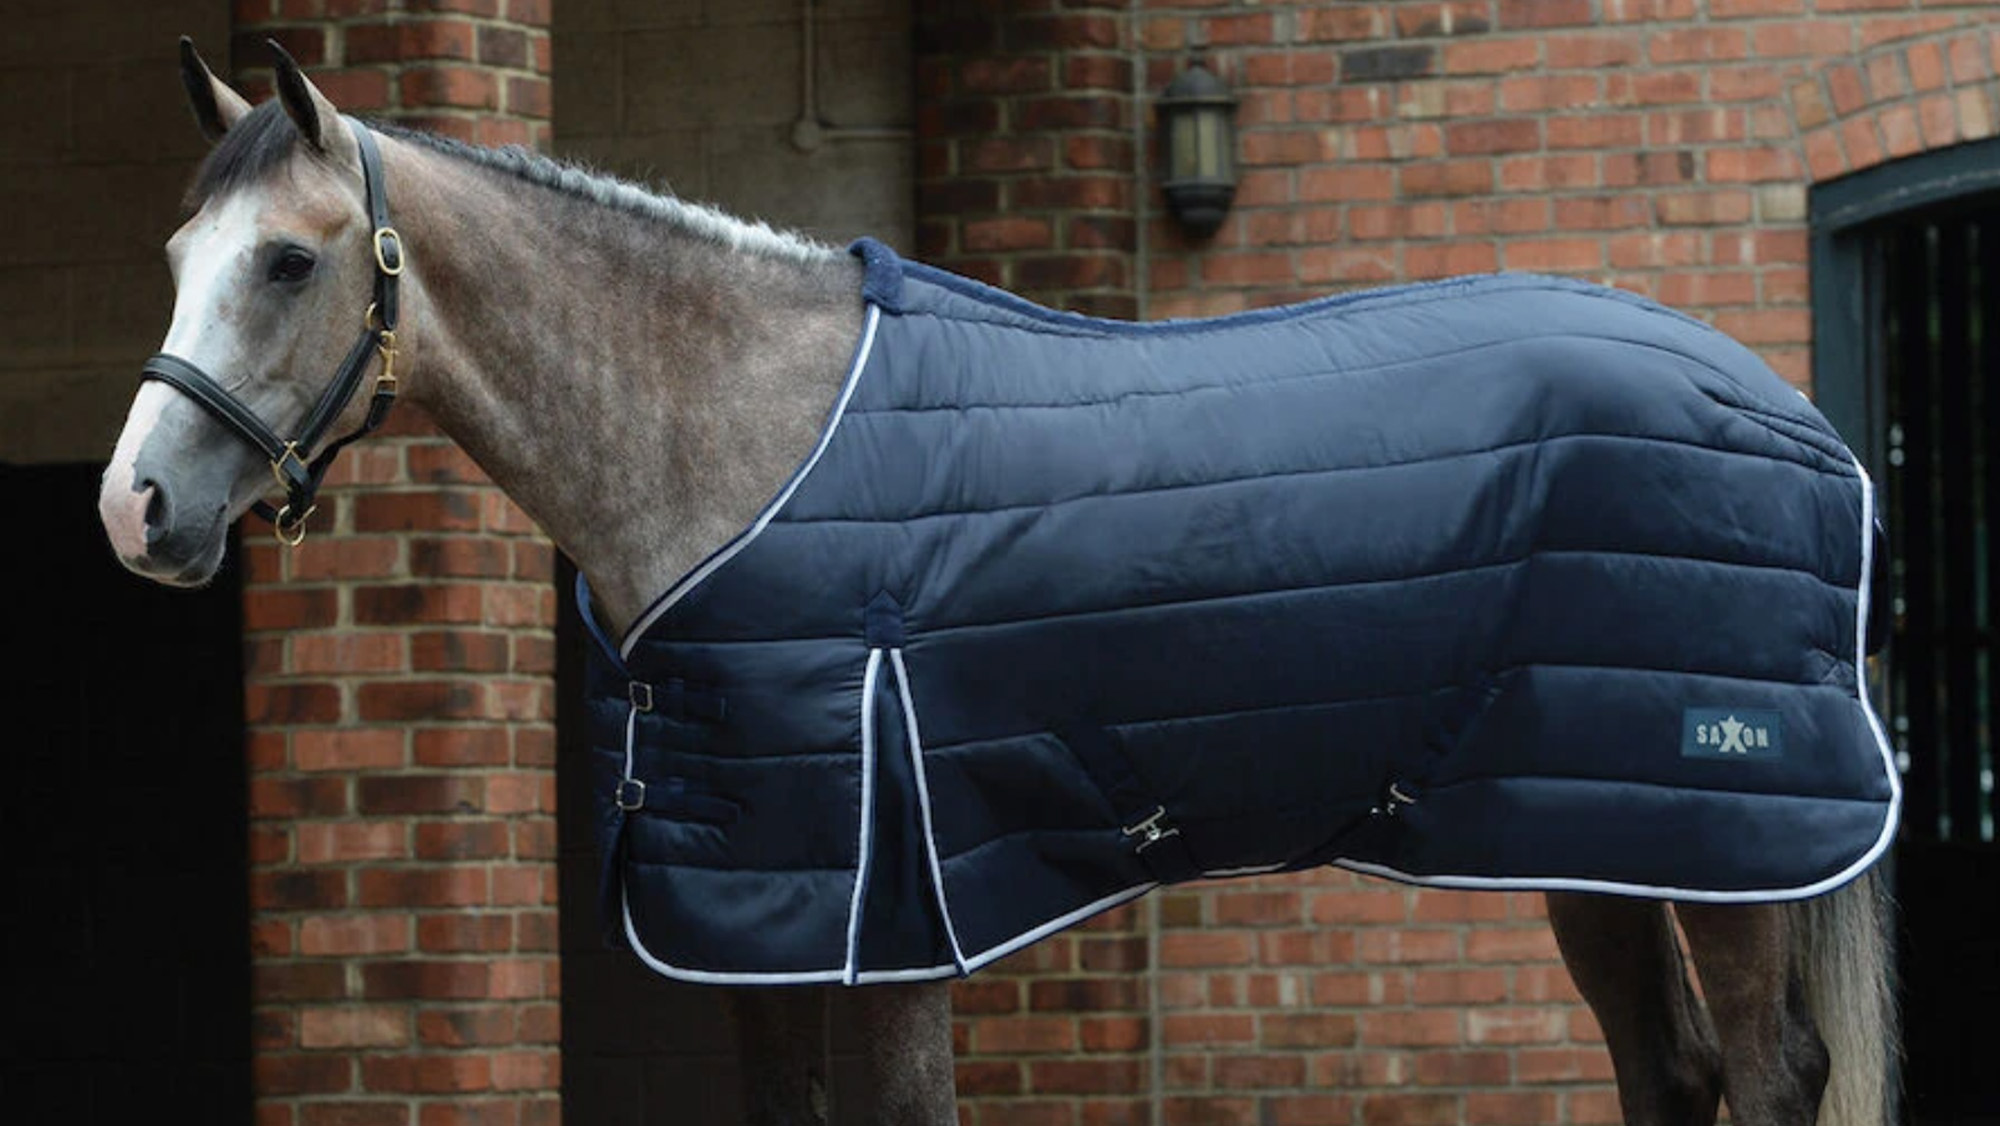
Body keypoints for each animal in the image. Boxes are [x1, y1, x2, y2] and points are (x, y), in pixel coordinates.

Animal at [99, 41, 1899, 1126]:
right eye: (177, 258)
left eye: (291, 259)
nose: (136, 506)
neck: (735, 444)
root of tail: (1784, 405)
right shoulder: (749, 919)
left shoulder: (885, 913)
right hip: (1584, 824)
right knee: (1672, 1066)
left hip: (1720, 830)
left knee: (1768, 1068)